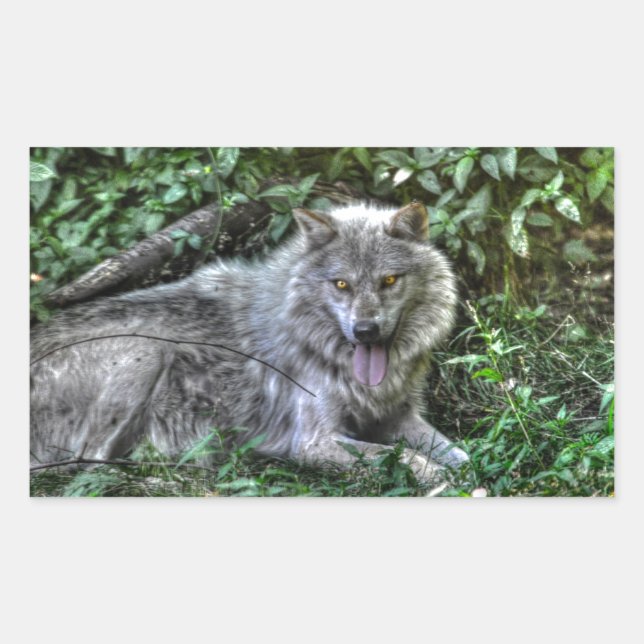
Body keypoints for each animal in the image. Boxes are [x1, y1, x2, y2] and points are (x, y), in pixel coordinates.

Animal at [30, 201, 468, 483]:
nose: (365, 331)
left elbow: (459, 451)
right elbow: (402, 457)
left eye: (389, 280)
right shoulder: (313, 443)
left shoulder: (399, 418)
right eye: (341, 284)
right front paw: (437, 476)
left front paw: (470, 468)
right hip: (144, 349)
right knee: (87, 467)